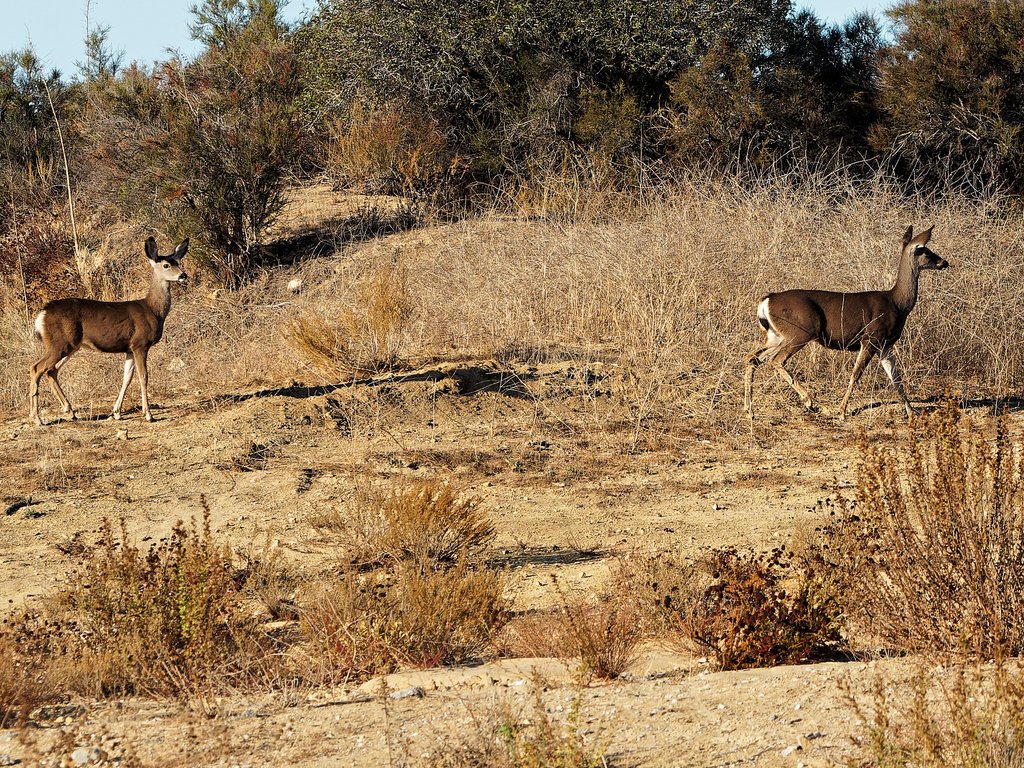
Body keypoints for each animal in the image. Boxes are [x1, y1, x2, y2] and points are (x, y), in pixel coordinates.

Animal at [28, 237, 189, 426]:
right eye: (166, 265)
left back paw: (70, 412)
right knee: (36, 368)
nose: (183, 275)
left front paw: (116, 412)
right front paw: (148, 414)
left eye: (177, 262)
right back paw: (37, 418)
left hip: (70, 345)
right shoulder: (140, 344)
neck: (153, 310)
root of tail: (42, 314)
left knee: (51, 370)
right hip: (60, 343)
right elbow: (143, 376)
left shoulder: (129, 348)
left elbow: (126, 378)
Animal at [743, 225, 948, 421]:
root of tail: (766, 300)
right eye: (923, 249)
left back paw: (749, 410)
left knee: (752, 357)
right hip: (800, 331)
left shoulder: (885, 345)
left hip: (776, 335)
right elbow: (855, 375)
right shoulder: (870, 338)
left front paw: (912, 412)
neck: (898, 304)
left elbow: (896, 379)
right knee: (775, 360)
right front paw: (841, 412)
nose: (944, 262)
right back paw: (809, 401)